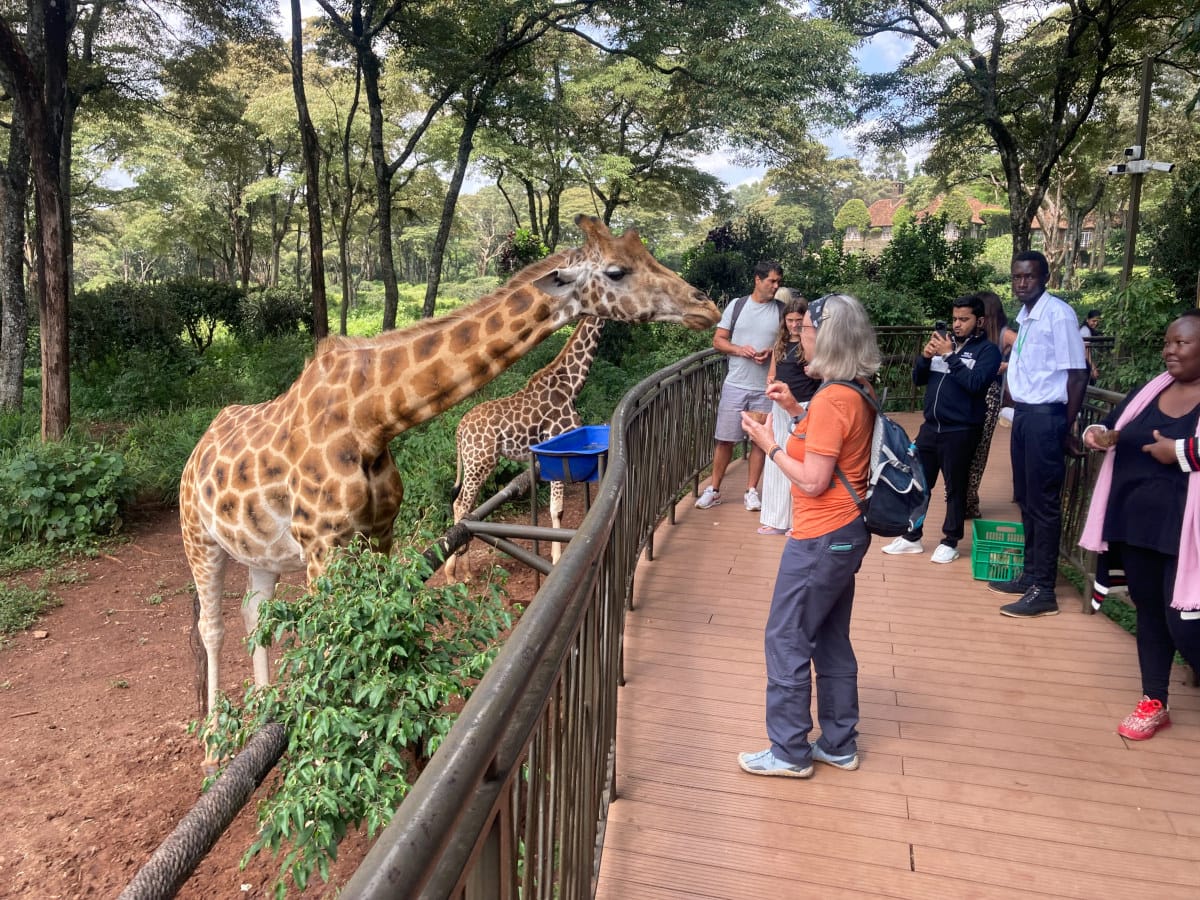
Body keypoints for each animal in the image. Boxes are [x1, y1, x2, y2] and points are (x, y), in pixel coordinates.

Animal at [443, 316, 605, 580]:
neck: (571, 385)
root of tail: (459, 430)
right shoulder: (559, 449)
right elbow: (557, 509)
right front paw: (557, 559)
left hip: (476, 464)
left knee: (466, 505)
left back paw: (465, 571)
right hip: (480, 462)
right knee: (460, 503)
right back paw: (452, 573)